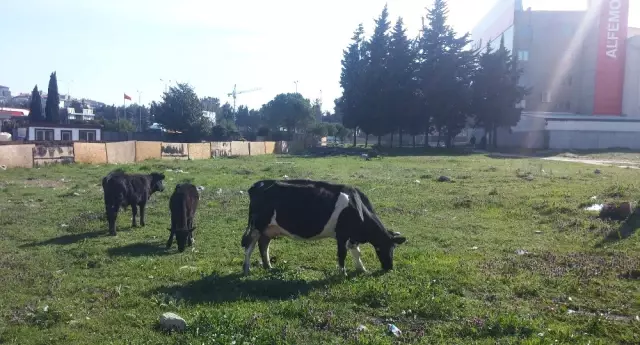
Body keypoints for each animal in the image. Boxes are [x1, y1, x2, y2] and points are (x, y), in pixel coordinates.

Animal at [240, 180, 404, 274]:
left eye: (394, 248)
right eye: (380, 248)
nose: (389, 267)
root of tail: (257, 184)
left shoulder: (352, 236)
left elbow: (356, 252)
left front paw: (362, 270)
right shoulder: (342, 235)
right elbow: (342, 254)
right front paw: (342, 273)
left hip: (269, 228)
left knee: (263, 244)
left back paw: (268, 267)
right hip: (257, 225)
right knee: (250, 245)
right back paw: (246, 269)